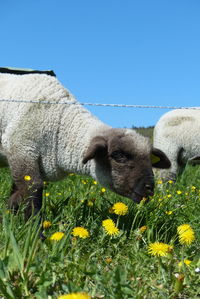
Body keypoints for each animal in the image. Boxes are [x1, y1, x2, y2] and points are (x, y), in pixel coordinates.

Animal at [0, 71, 170, 219]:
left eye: (150, 159)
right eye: (119, 156)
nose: (149, 188)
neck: (60, 125)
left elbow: (15, 197)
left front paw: (9, 220)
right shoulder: (22, 149)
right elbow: (32, 190)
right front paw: (34, 232)